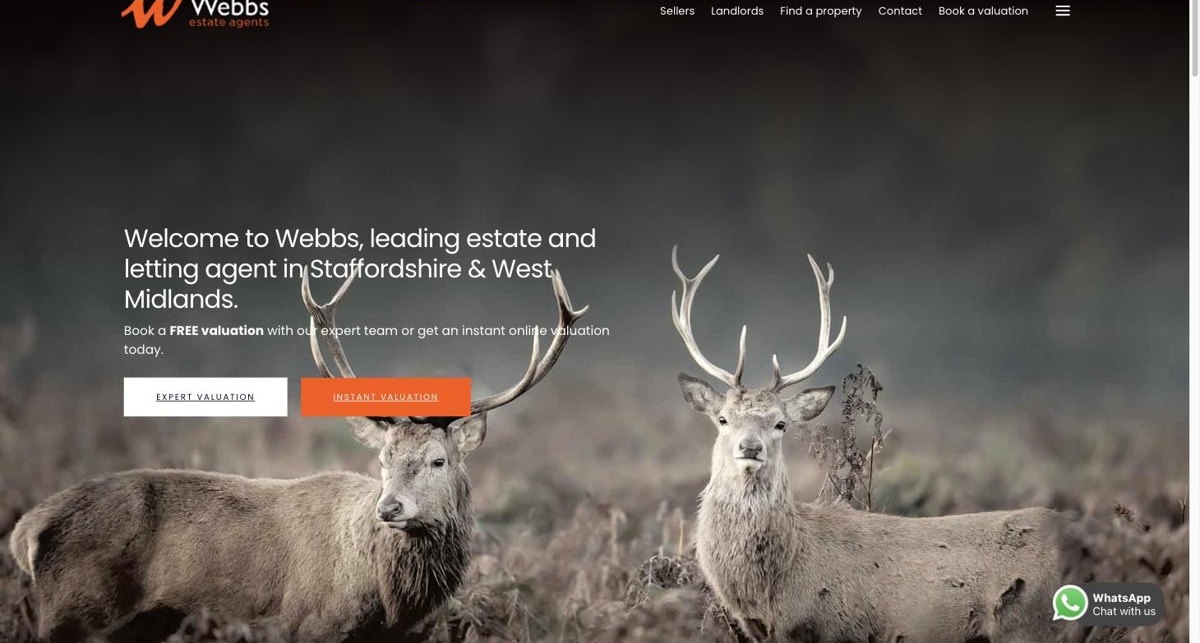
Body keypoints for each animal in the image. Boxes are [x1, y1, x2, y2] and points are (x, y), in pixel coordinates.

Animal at [9, 269, 587, 642]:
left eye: (437, 461)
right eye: (383, 460)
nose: (390, 507)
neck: (389, 599)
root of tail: (26, 531)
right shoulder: (310, 622)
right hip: (75, 610)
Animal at [670, 247, 1072, 642]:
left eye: (780, 424)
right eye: (723, 419)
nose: (751, 447)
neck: (775, 586)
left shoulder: (836, 629)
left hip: (1030, 623)